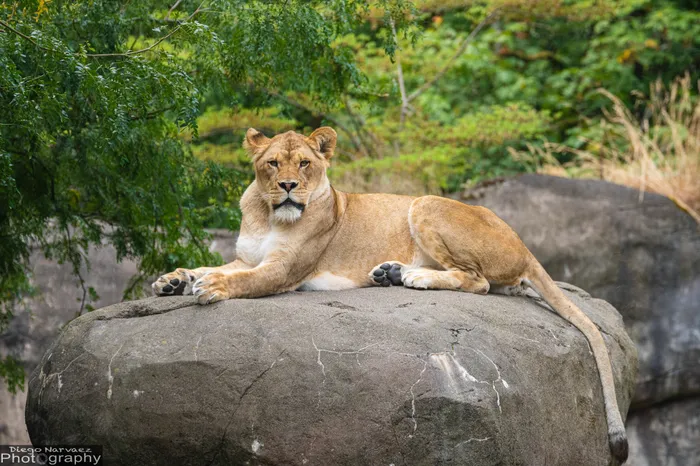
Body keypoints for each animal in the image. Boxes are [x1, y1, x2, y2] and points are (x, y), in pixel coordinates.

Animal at [152, 126, 629, 463]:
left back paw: (413, 278)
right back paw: (390, 272)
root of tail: (524, 245)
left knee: (478, 282)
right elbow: (209, 266)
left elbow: (239, 282)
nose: (287, 186)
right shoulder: (246, 258)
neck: (268, 214)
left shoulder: (284, 269)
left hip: (425, 203)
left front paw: (210, 288)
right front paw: (172, 281)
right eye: (272, 164)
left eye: (304, 163)